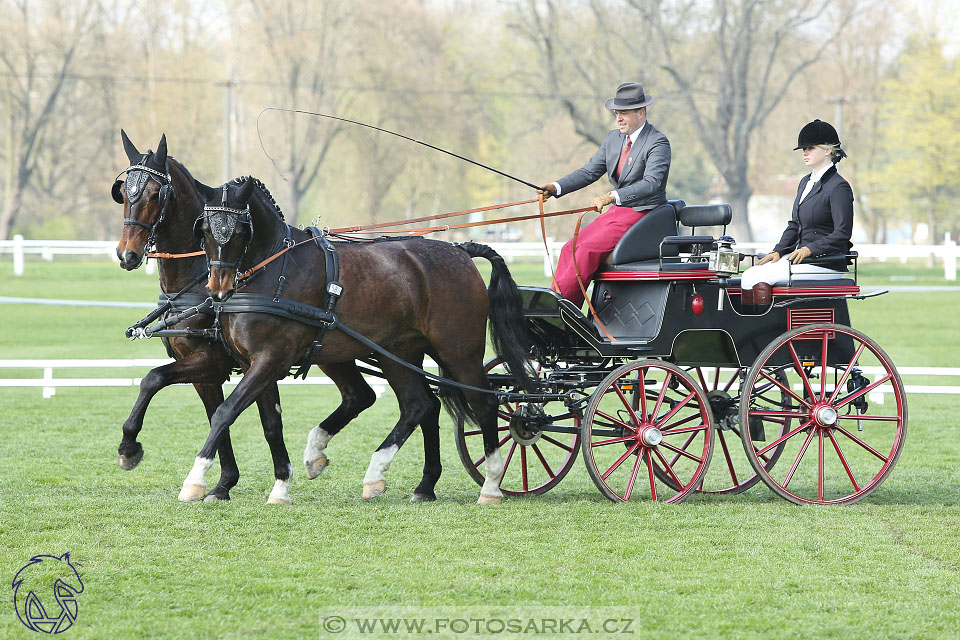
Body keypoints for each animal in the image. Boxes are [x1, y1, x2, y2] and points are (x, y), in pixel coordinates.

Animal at [111, 132, 378, 502]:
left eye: (155, 193)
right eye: (124, 193)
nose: (127, 255)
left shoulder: (214, 361)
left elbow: (153, 380)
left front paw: (130, 449)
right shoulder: (211, 369)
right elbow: (221, 415)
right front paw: (224, 482)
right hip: (334, 354)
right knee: (361, 395)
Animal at [187, 178, 532, 502]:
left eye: (241, 231)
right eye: (203, 229)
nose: (217, 289)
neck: (274, 269)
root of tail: (460, 250)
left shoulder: (272, 359)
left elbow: (225, 412)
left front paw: (195, 480)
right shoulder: (254, 364)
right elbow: (269, 423)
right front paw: (281, 487)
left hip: (459, 352)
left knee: (485, 404)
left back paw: (491, 485)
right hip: (399, 354)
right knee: (420, 405)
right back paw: (406, 481)